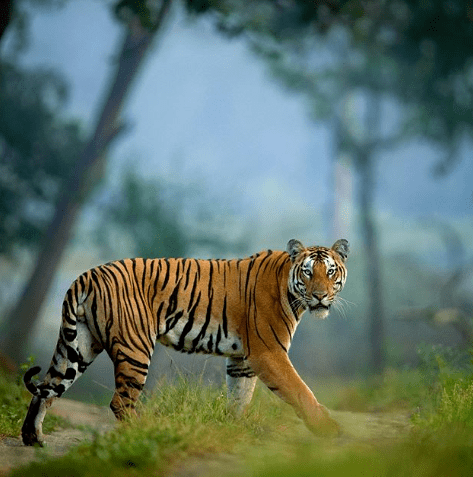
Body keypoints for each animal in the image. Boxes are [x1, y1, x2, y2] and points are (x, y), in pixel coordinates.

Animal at [20, 238, 348, 446]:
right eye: (308, 272)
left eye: (330, 271)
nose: (320, 296)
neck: (290, 289)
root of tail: (87, 275)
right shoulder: (268, 353)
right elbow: (300, 390)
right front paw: (327, 429)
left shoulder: (242, 360)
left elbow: (239, 397)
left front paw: (235, 428)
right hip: (135, 348)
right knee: (120, 402)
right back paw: (145, 433)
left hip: (79, 346)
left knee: (47, 388)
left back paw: (32, 438)